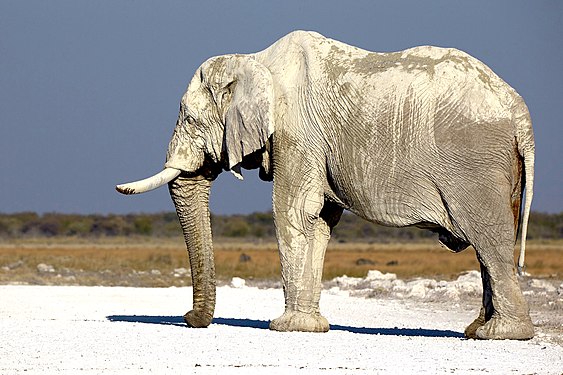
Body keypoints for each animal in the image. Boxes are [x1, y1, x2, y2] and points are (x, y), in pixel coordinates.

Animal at [117, 30, 536, 340]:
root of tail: (521, 114)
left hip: (474, 163)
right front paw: (310, 327)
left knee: (489, 240)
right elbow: (318, 221)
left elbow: (295, 212)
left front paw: (285, 328)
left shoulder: (298, 133)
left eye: (189, 119)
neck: (255, 61)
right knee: (490, 244)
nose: (188, 318)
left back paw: (502, 334)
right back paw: (476, 330)